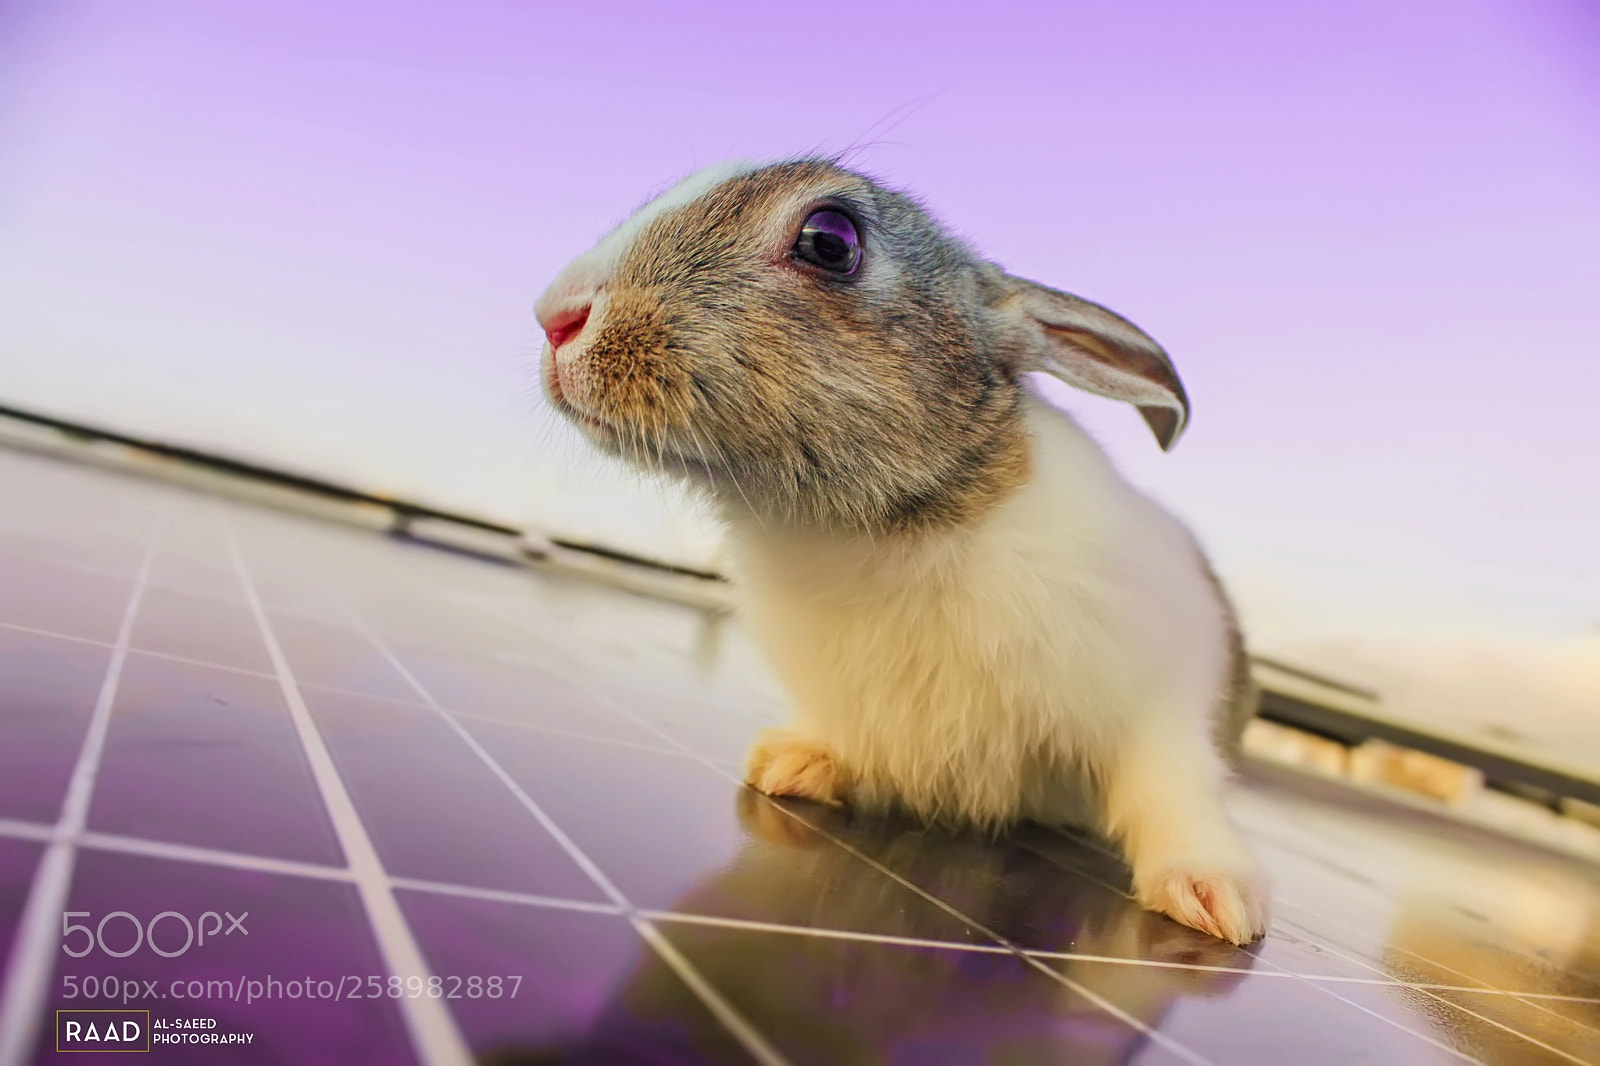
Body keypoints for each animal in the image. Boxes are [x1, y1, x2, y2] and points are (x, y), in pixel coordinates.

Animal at [534, 158, 1269, 945]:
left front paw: (1212, 896)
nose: (556, 316)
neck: (873, 530)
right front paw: (793, 764)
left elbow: (1168, 789)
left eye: (830, 240)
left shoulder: (1158, 708)